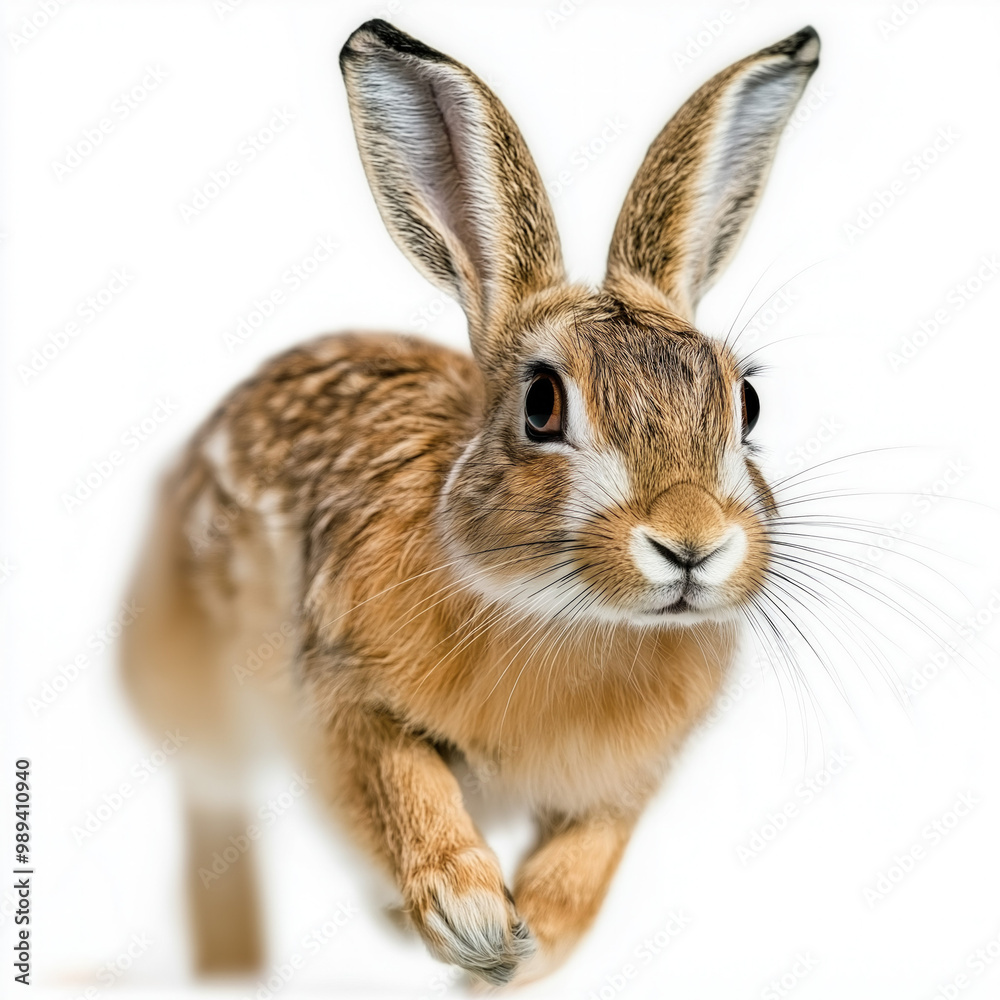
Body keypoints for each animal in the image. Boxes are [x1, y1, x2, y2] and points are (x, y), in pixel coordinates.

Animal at [121, 18, 819, 987]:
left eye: (745, 403)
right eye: (542, 404)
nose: (691, 542)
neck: (569, 619)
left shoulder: (623, 784)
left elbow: (588, 861)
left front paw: (525, 950)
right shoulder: (338, 696)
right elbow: (404, 785)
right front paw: (473, 917)